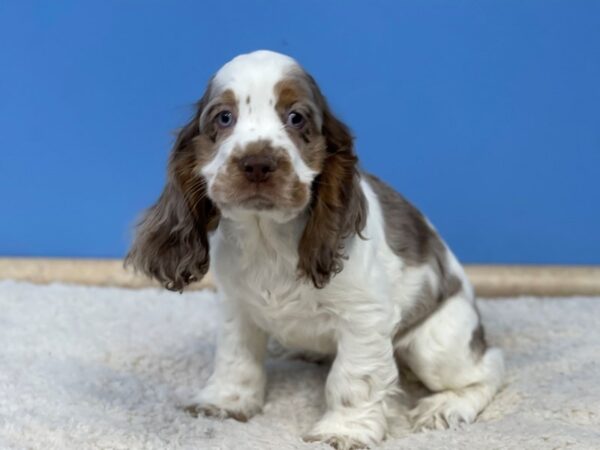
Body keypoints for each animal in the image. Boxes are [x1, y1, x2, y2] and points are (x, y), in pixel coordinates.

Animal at [129, 50, 504, 450]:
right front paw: (225, 402)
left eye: (296, 117)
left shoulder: (364, 317)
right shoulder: (236, 307)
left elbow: (352, 379)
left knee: (489, 367)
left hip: (436, 345)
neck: (268, 239)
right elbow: (235, 357)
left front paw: (344, 431)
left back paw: (445, 407)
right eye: (224, 117)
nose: (257, 163)